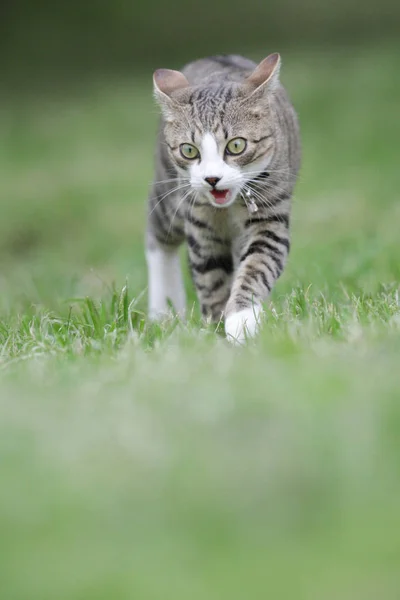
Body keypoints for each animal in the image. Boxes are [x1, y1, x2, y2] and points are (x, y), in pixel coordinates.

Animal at [146, 52, 300, 342]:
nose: (212, 179)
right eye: (188, 150)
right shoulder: (200, 224)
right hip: (170, 195)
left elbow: (257, 264)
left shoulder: (270, 216)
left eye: (236, 145)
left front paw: (242, 319)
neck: (230, 207)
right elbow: (211, 274)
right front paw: (217, 327)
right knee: (157, 234)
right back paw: (162, 312)